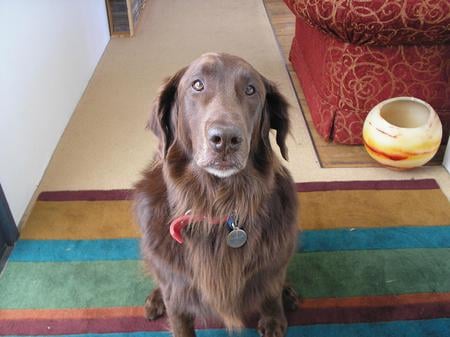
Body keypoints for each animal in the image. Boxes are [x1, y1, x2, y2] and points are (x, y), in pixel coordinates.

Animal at [137, 53, 298, 336]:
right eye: (197, 85)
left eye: (250, 90)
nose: (225, 139)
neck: (218, 202)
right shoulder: (177, 296)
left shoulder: (271, 268)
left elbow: (270, 294)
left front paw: (274, 314)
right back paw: (155, 300)